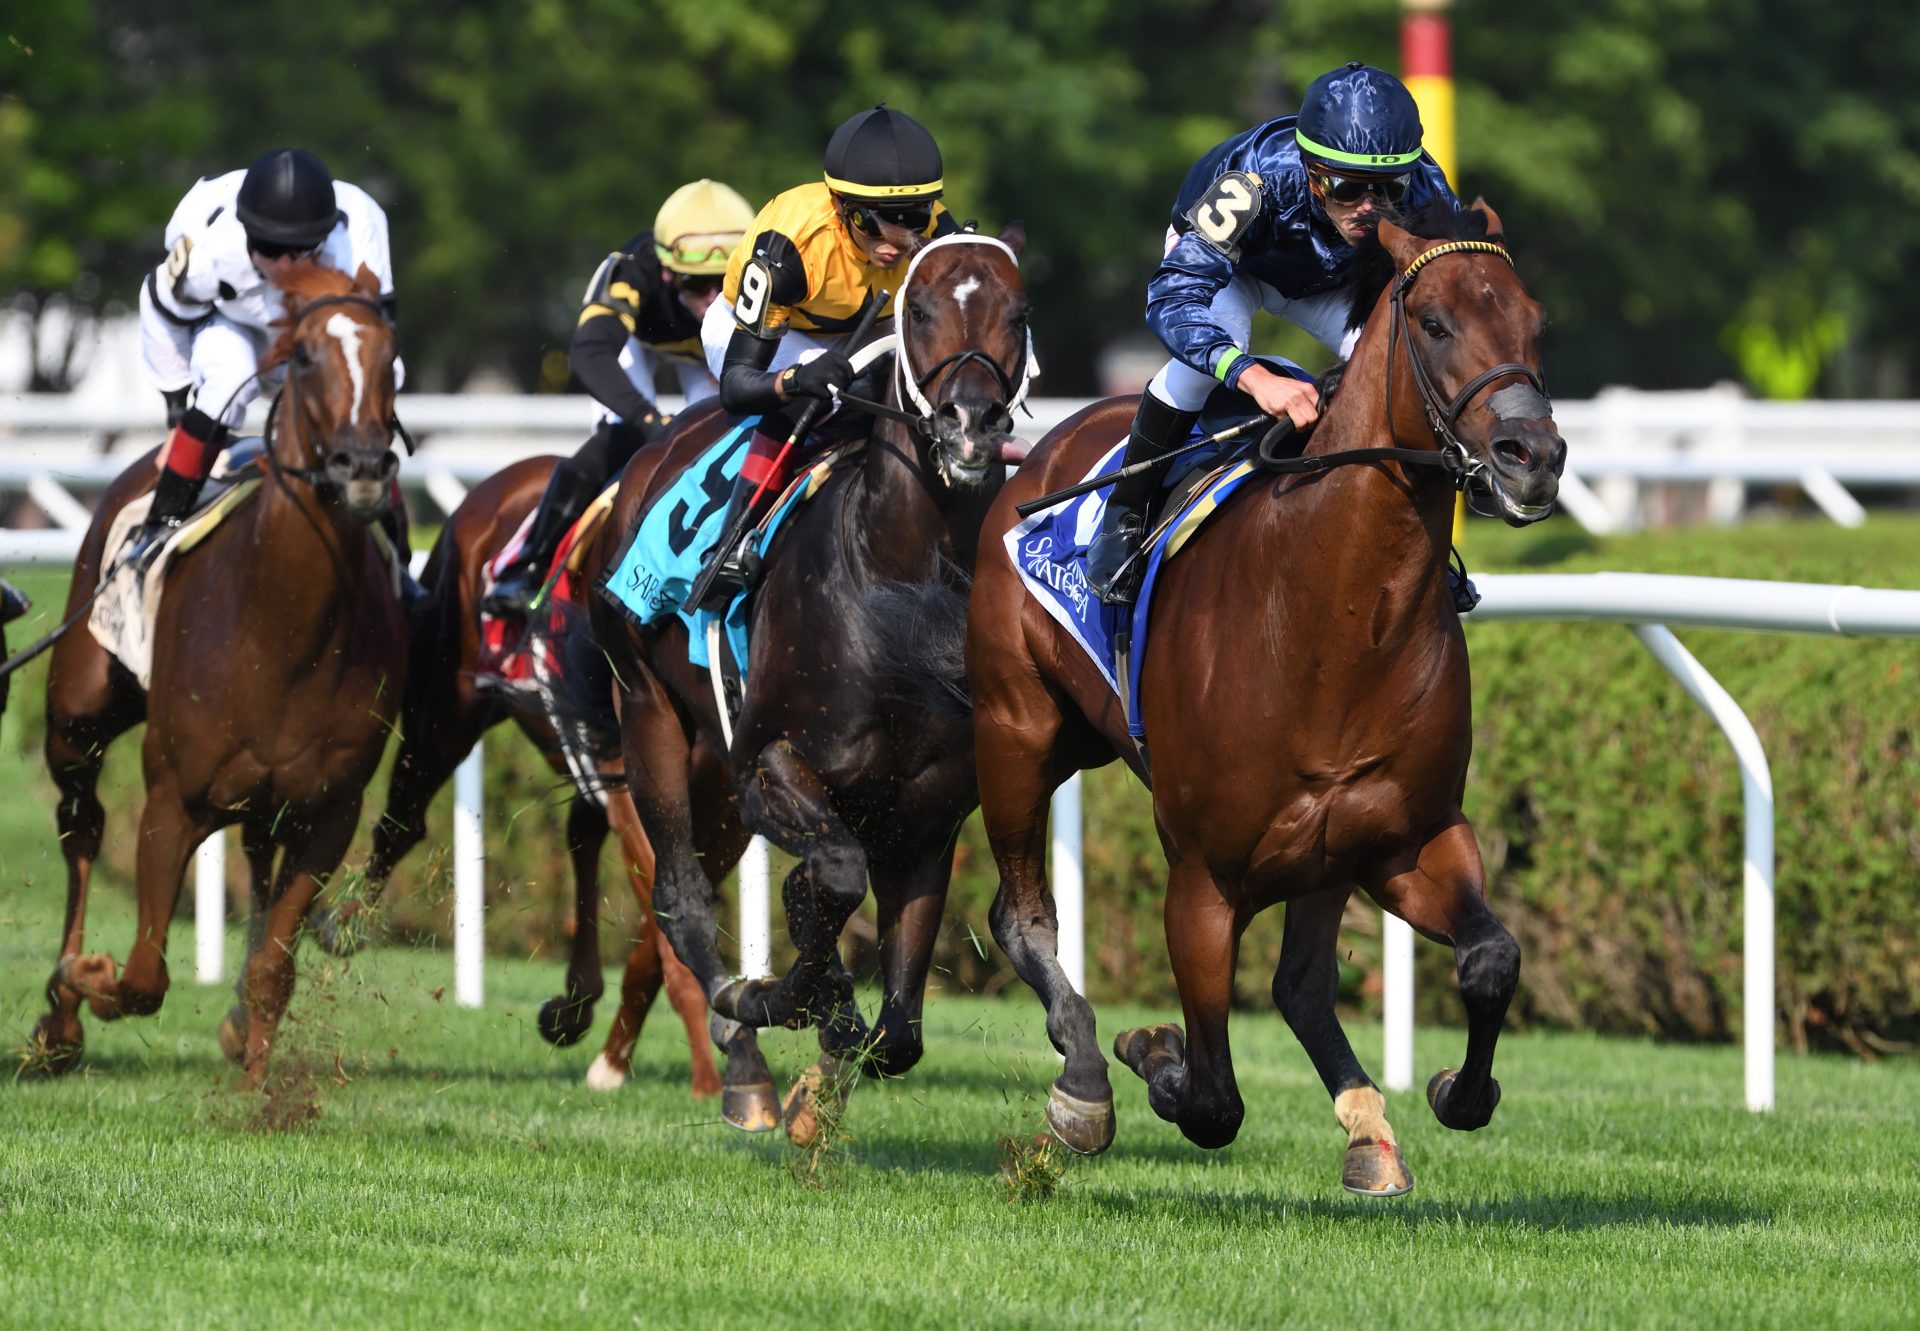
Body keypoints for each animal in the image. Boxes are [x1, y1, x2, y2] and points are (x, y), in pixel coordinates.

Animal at [34, 257, 408, 1083]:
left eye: (388, 355)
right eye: (306, 356)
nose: (363, 466)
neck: (282, 628)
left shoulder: (327, 812)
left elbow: (274, 966)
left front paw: (257, 1076)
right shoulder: (172, 801)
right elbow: (143, 974)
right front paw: (85, 975)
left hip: (266, 804)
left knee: (256, 867)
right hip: (77, 716)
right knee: (81, 829)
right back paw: (61, 1020)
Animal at [360, 451, 714, 1098]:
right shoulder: (636, 775)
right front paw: (710, 1073)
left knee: (579, 830)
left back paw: (577, 1002)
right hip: (446, 712)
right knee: (402, 819)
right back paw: (335, 924)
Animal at [576, 228, 1036, 1129]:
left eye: (1018, 309)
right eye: (919, 309)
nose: (971, 424)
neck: (897, 581)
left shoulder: (926, 817)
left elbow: (900, 1029)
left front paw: (825, 1064)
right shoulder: (771, 767)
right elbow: (831, 876)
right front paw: (787, 999)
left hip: (713, 773)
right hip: (650, 714)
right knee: (680, 894)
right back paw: (740, 1052)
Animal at [967, 205, 1566, 1190]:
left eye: (1534, 322)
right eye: (1435, 322)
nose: (1535, 457)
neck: (1333, 620)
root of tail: (1042, 452)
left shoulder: (1407, 839)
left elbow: (1491, 958)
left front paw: (1454, 1089)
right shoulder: (1202, 880)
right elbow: (1213, 1098)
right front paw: (1152, 1053)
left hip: (1317, 851)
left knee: (1302, 985)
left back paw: (1368, 1131)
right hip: (1016, 732)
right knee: (1019, 917)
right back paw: (1086, 1078)